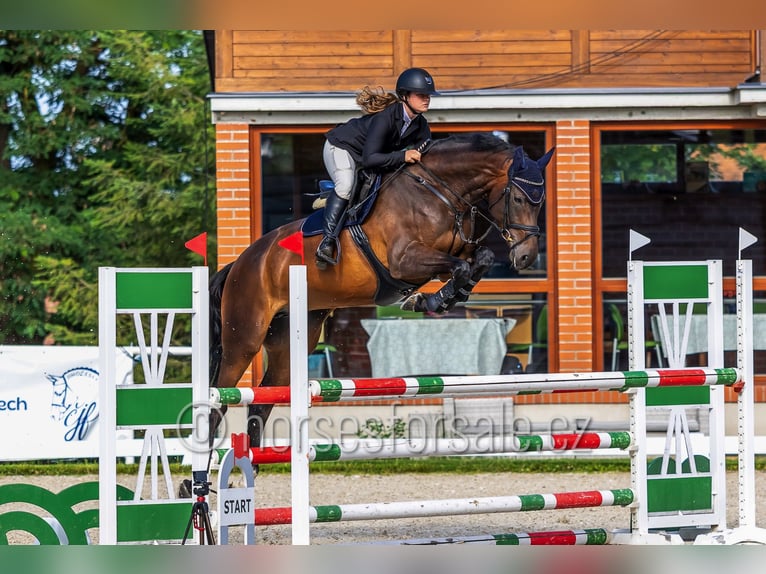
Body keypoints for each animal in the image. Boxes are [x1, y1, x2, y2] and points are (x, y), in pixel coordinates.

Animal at [209, 132, 555, 449]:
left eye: (541, 202)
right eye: (519, 199)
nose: (526, 257)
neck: (441, 192)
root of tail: (240, 263)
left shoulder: (448, 256)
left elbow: (478, 260)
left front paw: (441, 298)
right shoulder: (404, 260)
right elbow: (460, 267)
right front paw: (429, 300)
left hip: (291, 340)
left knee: (261, 403)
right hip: (244, 338)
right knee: (219, 401)